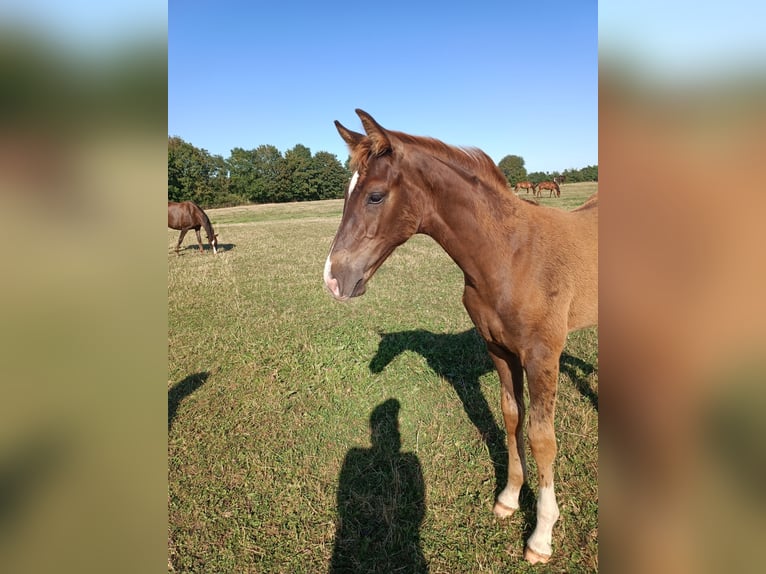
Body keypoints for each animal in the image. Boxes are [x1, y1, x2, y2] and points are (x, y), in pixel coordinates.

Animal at [324, 110, 598, 565]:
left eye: (375, 196)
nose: (333, 280)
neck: (510, 256)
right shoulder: (499, 350)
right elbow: (511, 417)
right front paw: (508, 498)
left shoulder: (543, 355)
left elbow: (542, 438)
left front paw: (541, 535)